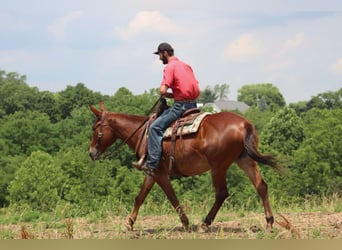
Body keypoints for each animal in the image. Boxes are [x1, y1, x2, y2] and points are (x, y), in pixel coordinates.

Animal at [89, 101, 282, 230]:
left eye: (95, 127)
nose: (91, 153)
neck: (143, 134)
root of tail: (244, 124)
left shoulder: (159, 173)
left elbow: (171, 197)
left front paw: (186, 223)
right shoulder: (152, 173)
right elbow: (140, 197)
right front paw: (129, 223)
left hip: (218, 166)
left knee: (221, 193)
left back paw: (205, 223)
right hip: (244, 160)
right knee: (261, 186)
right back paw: (269, 222)